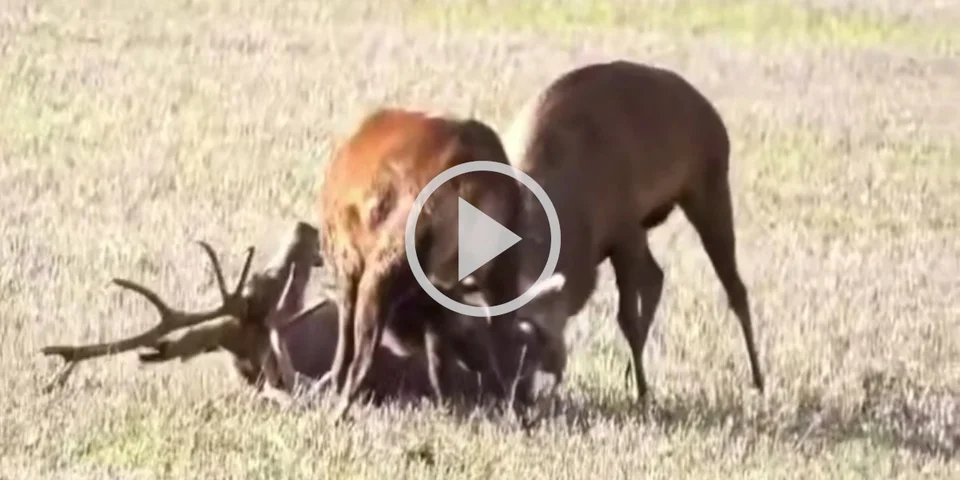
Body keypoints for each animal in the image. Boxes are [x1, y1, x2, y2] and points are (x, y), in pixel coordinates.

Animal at [316, 108, 565, 422]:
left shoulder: (348, 262)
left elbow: (346, 341)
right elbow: (439, 359)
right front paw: (447, 405)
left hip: (393, 254)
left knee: (362, 353)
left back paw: (338, 411)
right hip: (503, 265)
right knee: (502, 347)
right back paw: (516, 414)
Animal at [499, 60, 765, 400]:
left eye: (540, 341)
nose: (520, 394)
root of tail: (709, 111)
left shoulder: (624, 231)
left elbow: (627, 319)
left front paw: (642, 391)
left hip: (708, 189)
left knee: (735, 289)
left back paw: (758, 377)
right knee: (657, 276)